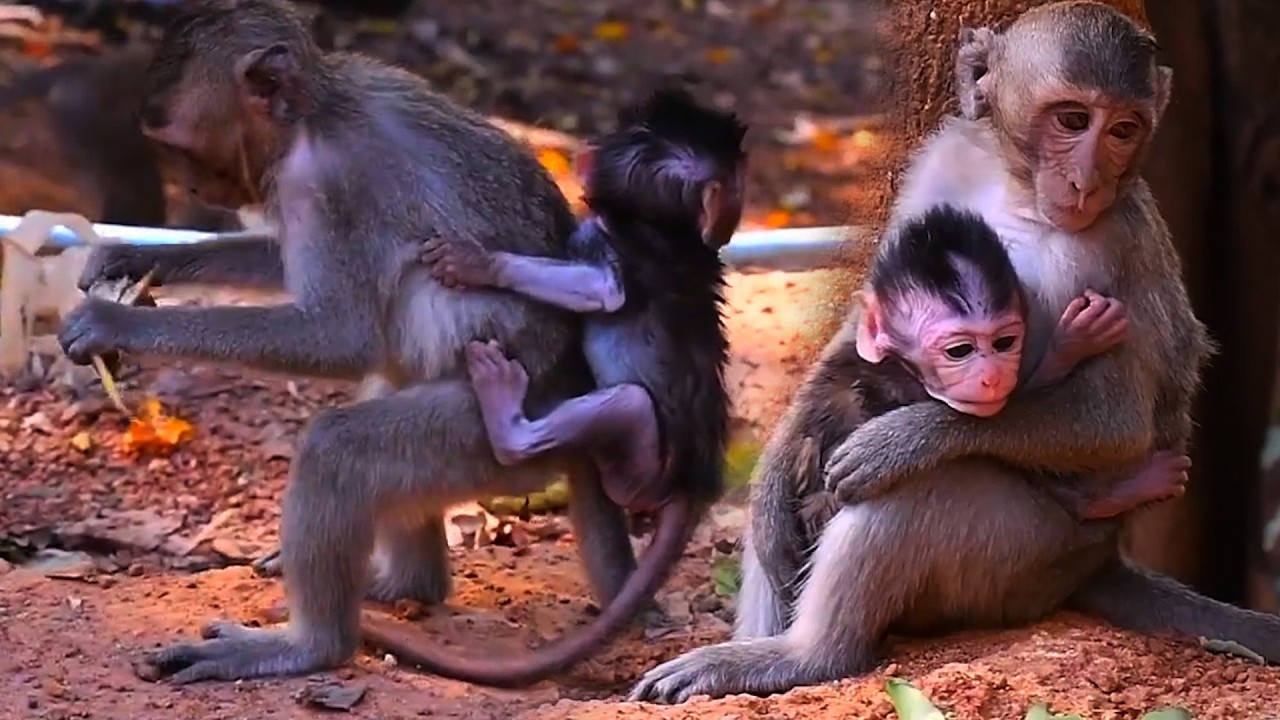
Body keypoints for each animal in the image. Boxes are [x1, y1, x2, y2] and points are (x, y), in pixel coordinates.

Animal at [56, 0, 668, 686]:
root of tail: (589, 400)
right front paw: (132, 256)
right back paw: (405, 585)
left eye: (183, 149)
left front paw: (114, 324)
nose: (192, 191)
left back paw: (310, 646)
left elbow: (338, 336)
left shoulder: (328, 183)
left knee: (340, 448)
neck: (314, 114)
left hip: (498, 435)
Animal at [356, 88, 744, 686]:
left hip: (642, 470)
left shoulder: (600, 240)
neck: (668, 234)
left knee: (627, 405)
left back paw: (507, 415)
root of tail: (695, 479)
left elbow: (601, 291)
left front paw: (478, 264)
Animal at [733, 203, 1188, 642]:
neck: (899, 366)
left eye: (1005, 343)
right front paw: (1071, 345)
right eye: (959, 351)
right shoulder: (902, 386)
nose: (992, 375)